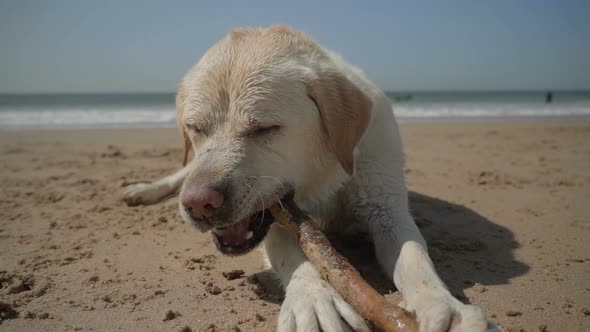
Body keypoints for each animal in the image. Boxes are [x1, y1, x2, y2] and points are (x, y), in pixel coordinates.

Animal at [123, 26, 500, 332]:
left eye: (264, 128)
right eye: (195, 128)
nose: (199, 204)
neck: (323, 179)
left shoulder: (386, 208)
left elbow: (414, 256)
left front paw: (445, 308)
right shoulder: (277, 217)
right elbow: (296, 258)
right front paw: (314, 301)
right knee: (181, 173)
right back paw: (142, 190)